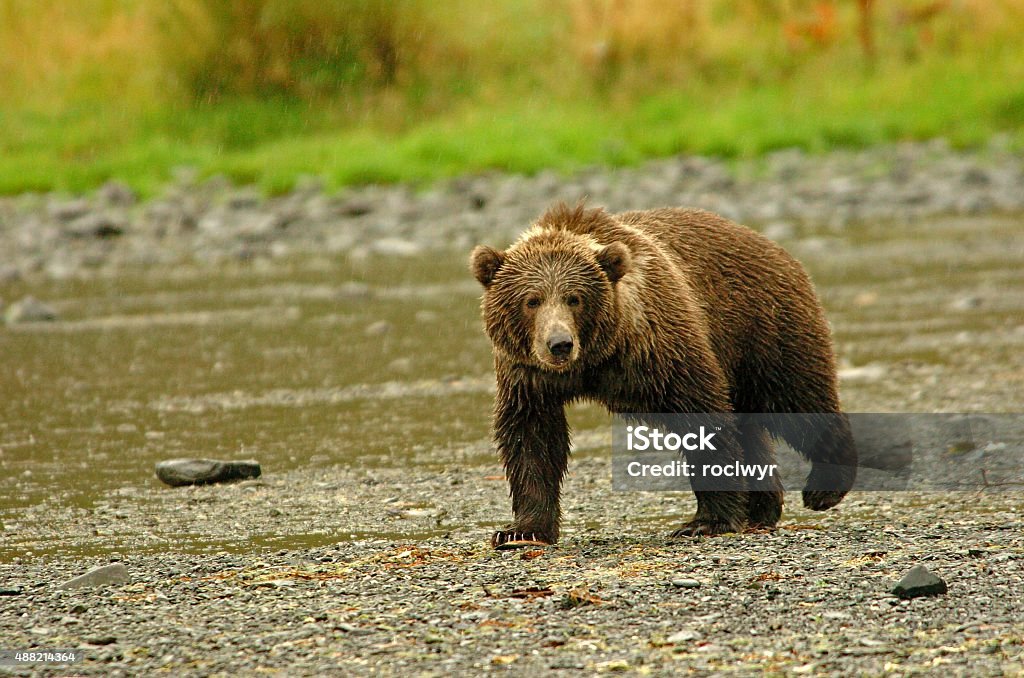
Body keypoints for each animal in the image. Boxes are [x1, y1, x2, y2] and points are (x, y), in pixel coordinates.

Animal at [471, 204, 856, 548]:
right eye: (532, 300)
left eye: (574, 298)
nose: (559, 344)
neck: (595, 361)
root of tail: (774, 246)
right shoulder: (528, 377)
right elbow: (531, 438)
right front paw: (521, 531)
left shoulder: (660, 349)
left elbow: (702, 418)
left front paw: (705, 521)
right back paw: (761, 508)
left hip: (761, 329)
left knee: (795, 398)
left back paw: (824, 488)